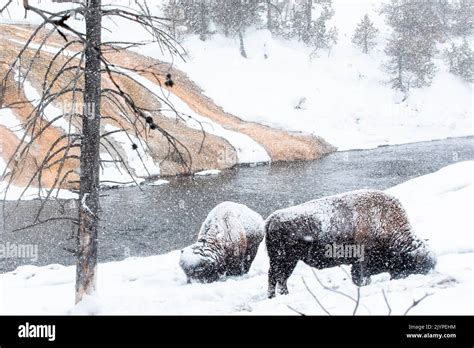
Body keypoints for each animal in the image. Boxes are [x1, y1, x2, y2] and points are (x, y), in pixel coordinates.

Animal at [264, 189, 436, 298]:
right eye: (415, 267)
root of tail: (272, 218)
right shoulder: (361, 263)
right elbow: (360, 278)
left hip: (286, 260)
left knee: (279, 277)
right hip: (285, 259)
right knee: (277, 277)